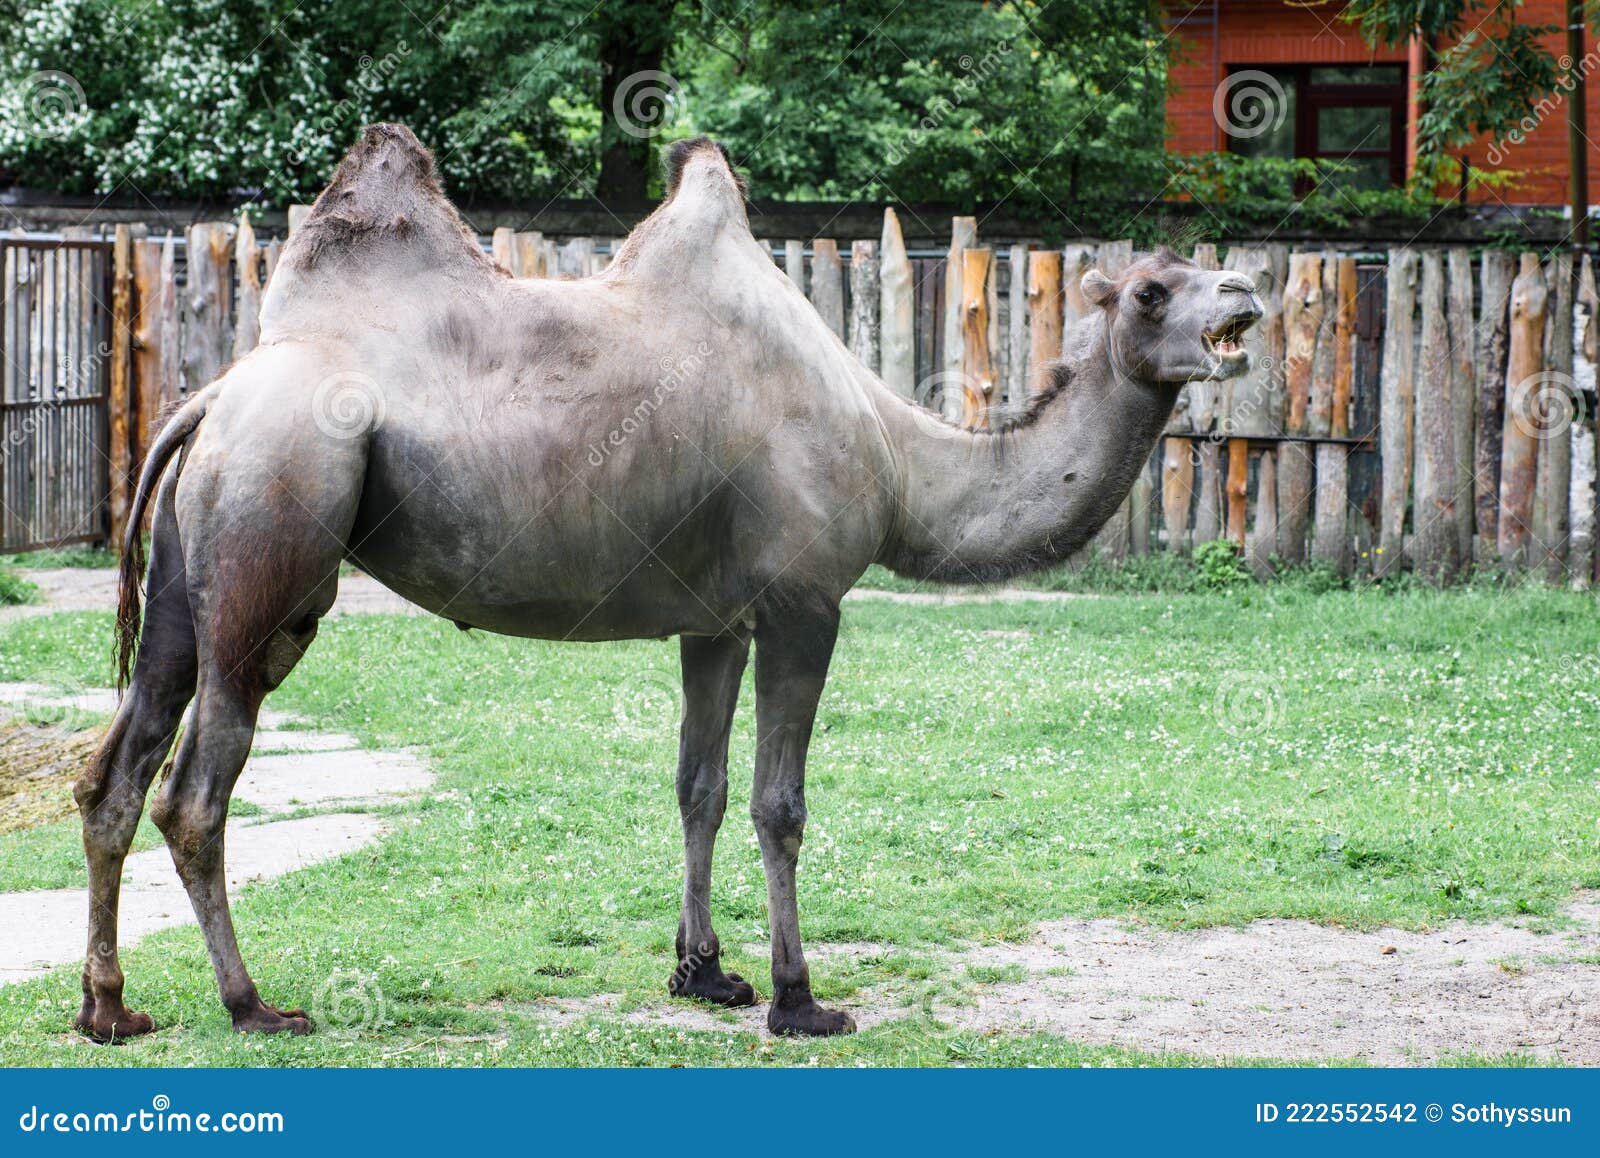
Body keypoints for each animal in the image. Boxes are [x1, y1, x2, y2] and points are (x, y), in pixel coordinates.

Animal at [75, 124, 1260, 1042]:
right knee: (195, 791)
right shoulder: (802, 602)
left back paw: (110, 1009)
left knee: (116, 772)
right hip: (273, 519)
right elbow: (780, 803)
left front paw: (706, 974)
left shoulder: (716, 622)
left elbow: (700, 785)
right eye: (1151, 290)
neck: (897, 458)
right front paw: (798, 999)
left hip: (187, 571)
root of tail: (207, 400)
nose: (1245, 290)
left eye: (1203, 275)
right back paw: (252, 1006)